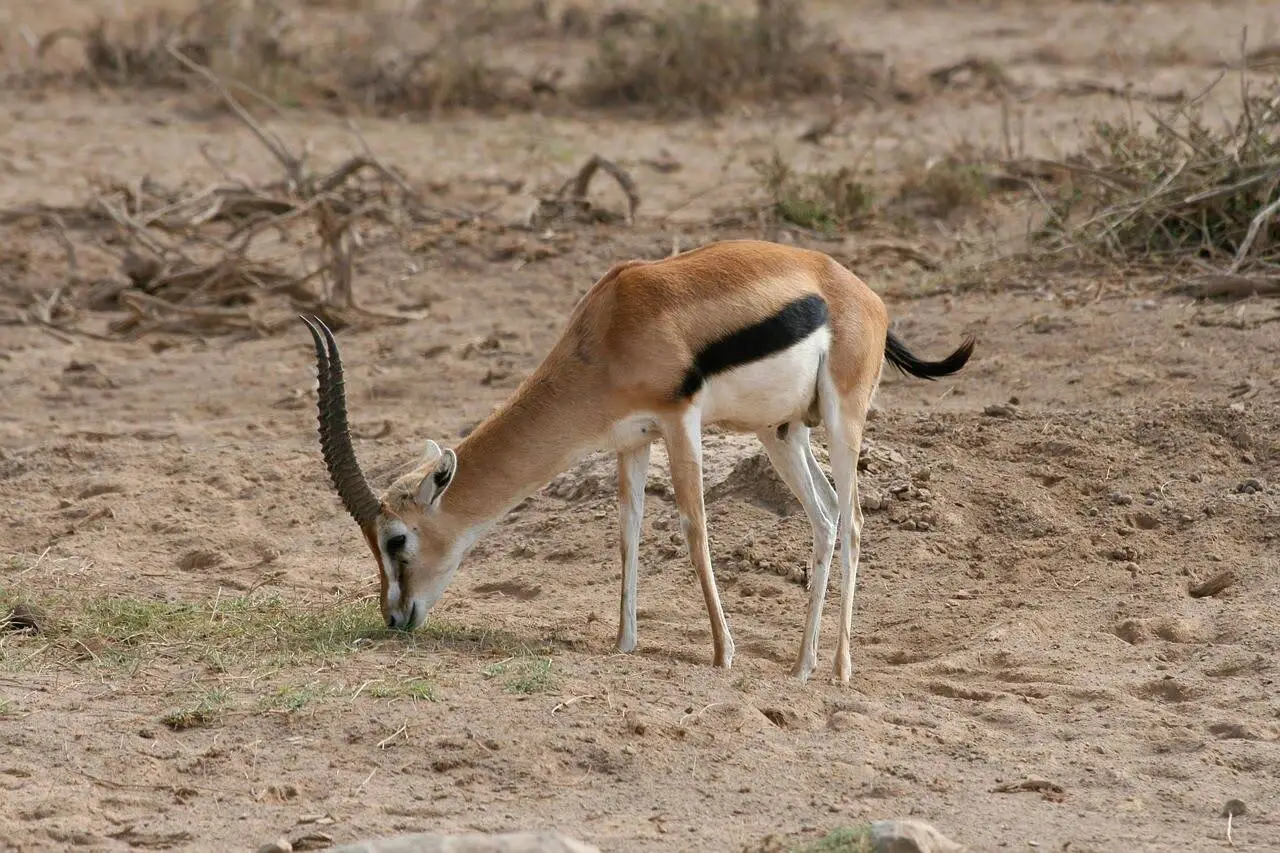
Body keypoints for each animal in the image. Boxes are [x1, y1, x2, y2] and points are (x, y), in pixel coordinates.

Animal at [302, 239, 973, 684]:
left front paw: (723, 654)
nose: (395, 616)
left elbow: (696, 531)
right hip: (781, 432)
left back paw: (838, 668)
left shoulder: (680, 422)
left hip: (840, 419)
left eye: (396, 539)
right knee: (827, 516)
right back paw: (802, 665)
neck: (608, 327)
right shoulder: (631, 440)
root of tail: (863, 296)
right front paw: (624, 642)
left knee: (853, 522)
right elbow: (628, 534)